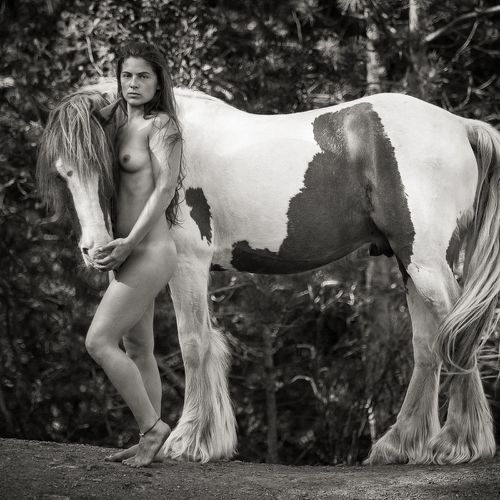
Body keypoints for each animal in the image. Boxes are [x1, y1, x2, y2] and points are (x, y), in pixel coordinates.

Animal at [36, 79, 500, 465]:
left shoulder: (188, 262)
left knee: (458, 336)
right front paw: (209, 440)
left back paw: (459, 444)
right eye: (62, 171)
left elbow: (194, 343)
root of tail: (460, 126)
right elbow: (202, 343)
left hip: (426, 264)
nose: (95, 249)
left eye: (108, 162)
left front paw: (188, 441)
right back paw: (400, 445)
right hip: (410, 262)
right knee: (429, 346)